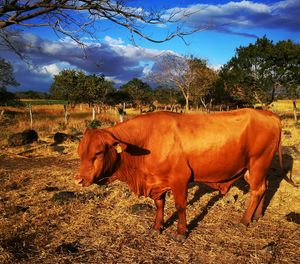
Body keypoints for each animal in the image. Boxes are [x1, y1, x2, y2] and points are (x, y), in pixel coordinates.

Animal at [75, 108, 284, 240]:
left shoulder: (180, 179)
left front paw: (181, 232)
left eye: (98, 152)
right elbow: (159, 205)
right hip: (255, 168)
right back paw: (256, 216)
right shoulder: (156, 182)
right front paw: (156, 228)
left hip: (258, 163)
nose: (78, 179)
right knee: (263, 187)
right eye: (80, 152)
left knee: (257, 190)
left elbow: (180, 206)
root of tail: (269, 115)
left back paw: (244, 220)